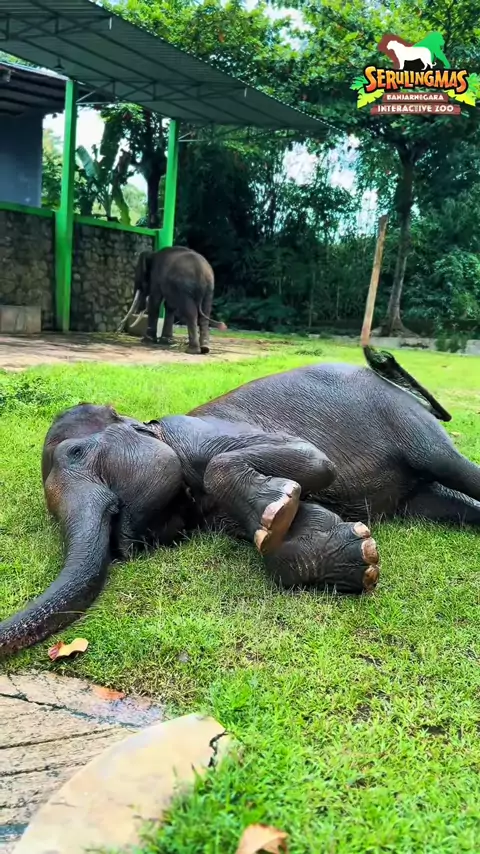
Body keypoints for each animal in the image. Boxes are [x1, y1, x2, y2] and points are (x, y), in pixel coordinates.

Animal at [1, 346, 480, 657]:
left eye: (77, 453)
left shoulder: (197, 434)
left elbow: (310, 459)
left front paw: (280, 509)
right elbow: (288, 541)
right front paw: (357, 555)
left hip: (402, 418)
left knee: (452, 466)